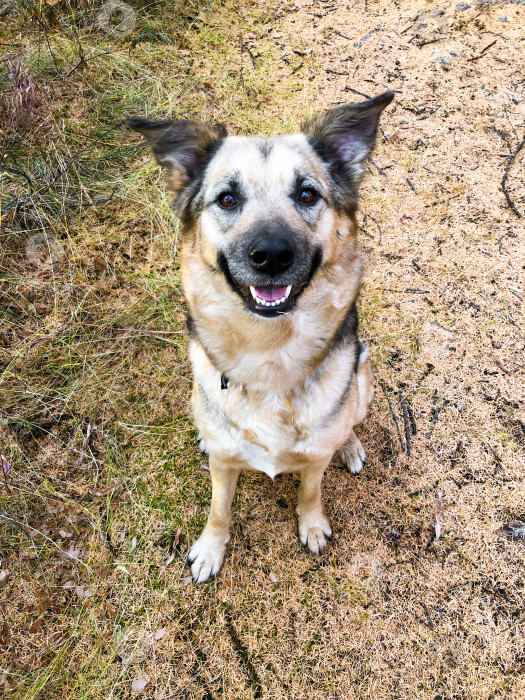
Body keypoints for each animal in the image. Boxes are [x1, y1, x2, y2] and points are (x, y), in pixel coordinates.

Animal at [127, 90, 392, 584]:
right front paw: (211, 548)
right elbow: (219, 508)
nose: (270, 255)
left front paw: (312, 525)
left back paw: (349, 444)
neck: (271, 352)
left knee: (350, 418)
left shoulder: (315, 460)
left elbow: (310, 491)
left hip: (363, 375)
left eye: (307, 194)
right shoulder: (222, 465)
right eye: (228, 198)